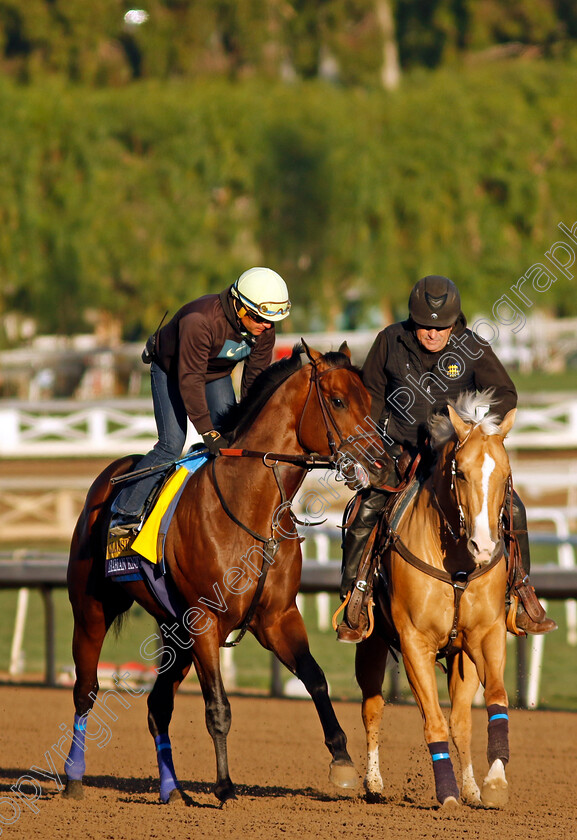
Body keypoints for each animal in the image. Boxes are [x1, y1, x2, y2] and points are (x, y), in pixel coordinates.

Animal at [63, 342, 390, 808]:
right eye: (339, 400)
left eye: (370, 401)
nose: (385, 462)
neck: (250, 505)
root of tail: (110, 475)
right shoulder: (205, 620)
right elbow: (218, 708)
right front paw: (225, 787)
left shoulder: (277, 617)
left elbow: (316, 678)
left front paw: (342, 761)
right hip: (92, 608)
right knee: (86, 688)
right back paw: (74, 777)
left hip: (175, 632)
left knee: (157, 706)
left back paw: (172, 790)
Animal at [358, 390, 516, 812]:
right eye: (460, 472)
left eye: (505, 474)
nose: (484, 546)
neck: (457, 563)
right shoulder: (416, 643)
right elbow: (433, 721)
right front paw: (446, 792)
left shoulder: (487, 634)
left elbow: (495, 699)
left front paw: (494, 781)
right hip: (372, 641)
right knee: (372, 708)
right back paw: (373, 782)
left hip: (461, 655)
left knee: (461, 721)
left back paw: (472, 787)